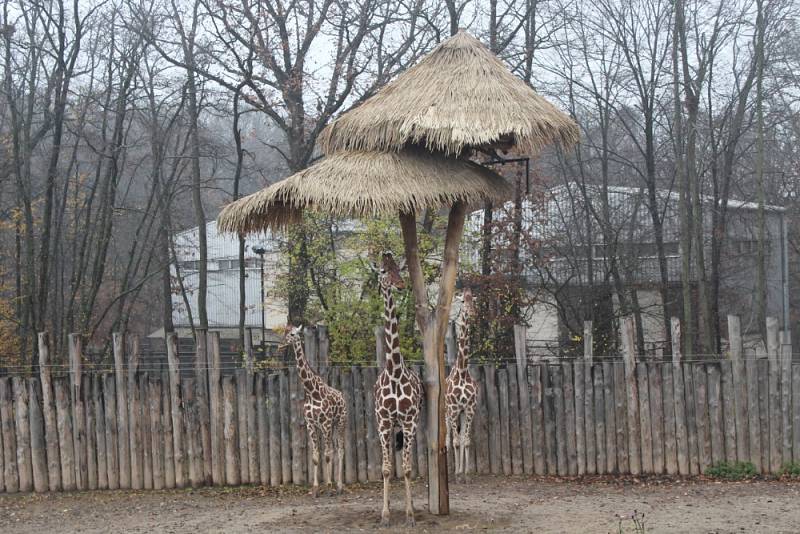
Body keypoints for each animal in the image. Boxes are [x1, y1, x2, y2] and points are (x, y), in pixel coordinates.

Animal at [284, 326, 346, 498]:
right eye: (285, 332)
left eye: (293, 334)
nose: (282, 343)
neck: (311, 392)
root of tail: (342, 396)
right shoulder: (311, 425)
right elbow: (316, 457)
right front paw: (315, 489)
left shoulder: (325, 423)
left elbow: (327, 455)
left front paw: (329, 487)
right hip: (331, 426)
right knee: (333, 449)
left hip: (340, 422)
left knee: (340, 450)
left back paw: (339, 486)